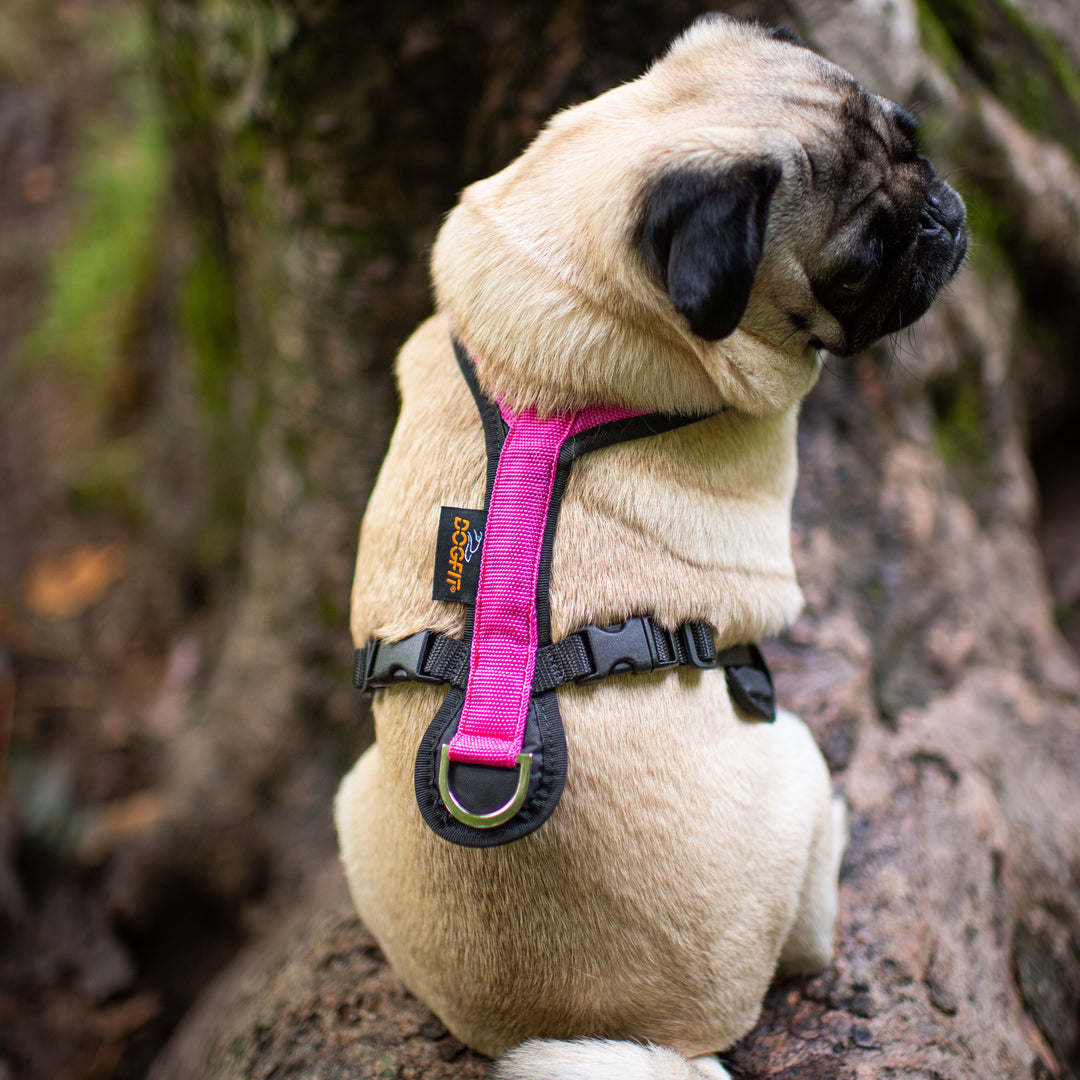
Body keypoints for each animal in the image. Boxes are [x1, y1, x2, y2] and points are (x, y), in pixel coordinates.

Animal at [332, 12, 967, 1075]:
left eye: (912, 137)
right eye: (861, 259)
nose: (944, 217)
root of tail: (630, 1033)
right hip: (796, 768)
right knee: (811, 934)